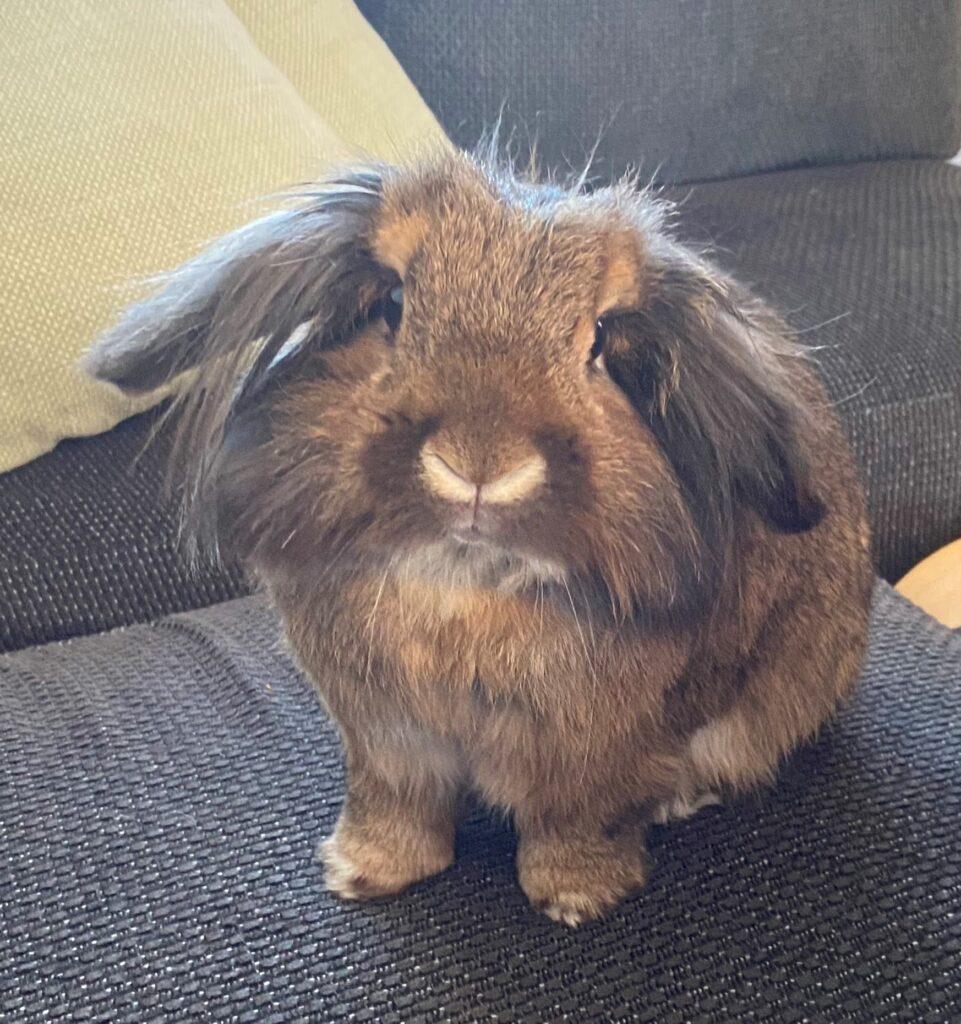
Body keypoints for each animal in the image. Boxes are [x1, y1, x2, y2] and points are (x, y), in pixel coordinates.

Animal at [86, 149, 872, 929]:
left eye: (598, 342)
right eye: (392, 305)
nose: (478, 465)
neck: (461, 582)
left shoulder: (602, 755)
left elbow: (581, 822)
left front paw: (576, 899)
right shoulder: (383, 741)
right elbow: (392, 809)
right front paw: (363, 872)